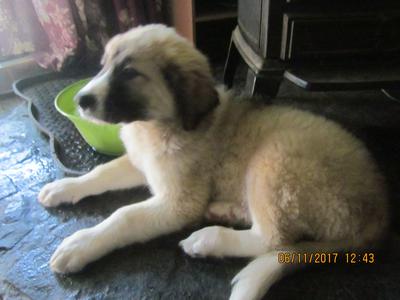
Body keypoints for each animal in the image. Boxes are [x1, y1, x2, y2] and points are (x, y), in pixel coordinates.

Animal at [37, 25, 388, 300]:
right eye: (103, 65)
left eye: (129, 73)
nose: (81, 100)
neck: (158, 125)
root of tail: (379, 208)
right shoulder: (141, 163)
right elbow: (100, 172)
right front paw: (63, 187)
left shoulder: (179, 202)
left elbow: (124, 216)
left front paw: (80, 245)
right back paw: (223, 211)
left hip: (274, 160)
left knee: (273, 240)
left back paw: (208, 239)